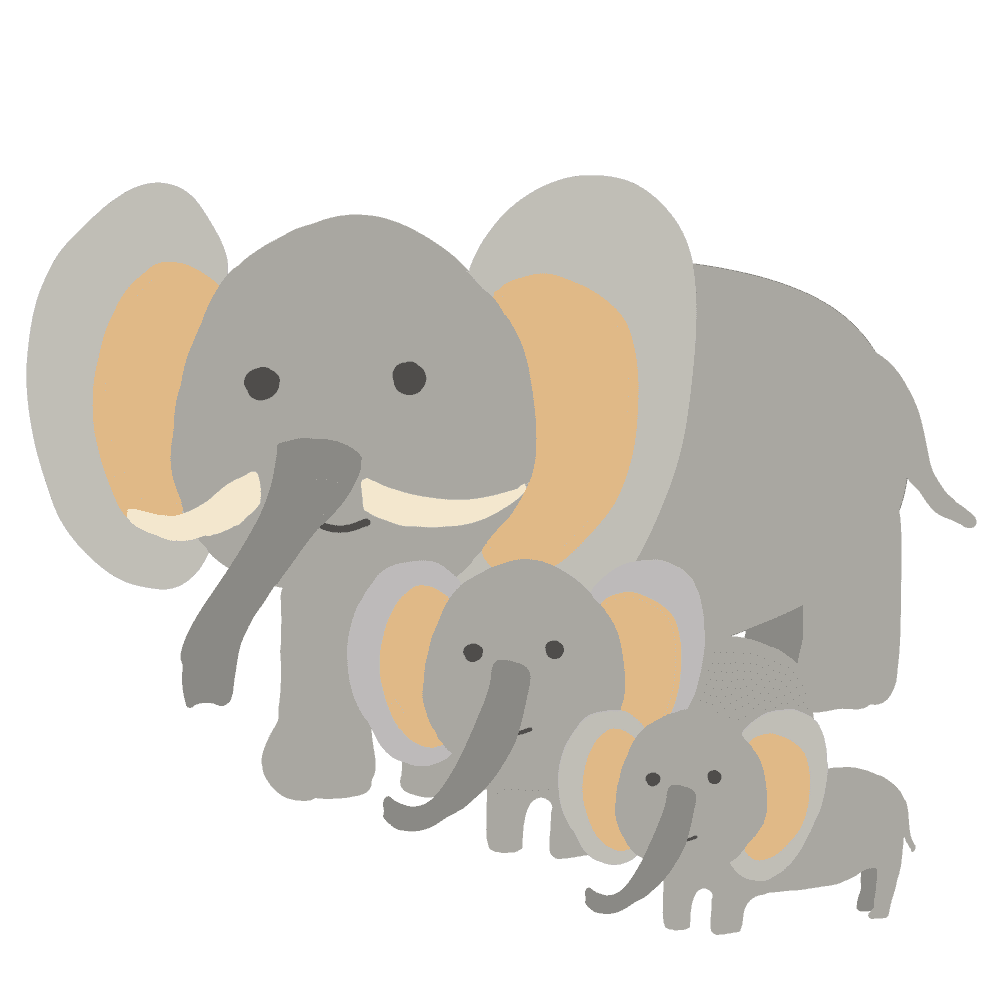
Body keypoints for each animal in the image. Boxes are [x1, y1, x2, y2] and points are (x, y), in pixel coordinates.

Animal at [559, 708, 915, 934]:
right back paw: (862, 910)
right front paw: (676, 930)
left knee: (885, 875)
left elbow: (727, 902)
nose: (589, 892)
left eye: (715, 777)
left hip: (889, 844)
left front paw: (722, 933)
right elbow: (677, 897)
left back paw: (876, 917)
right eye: (651, 780)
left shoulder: (735, 877)